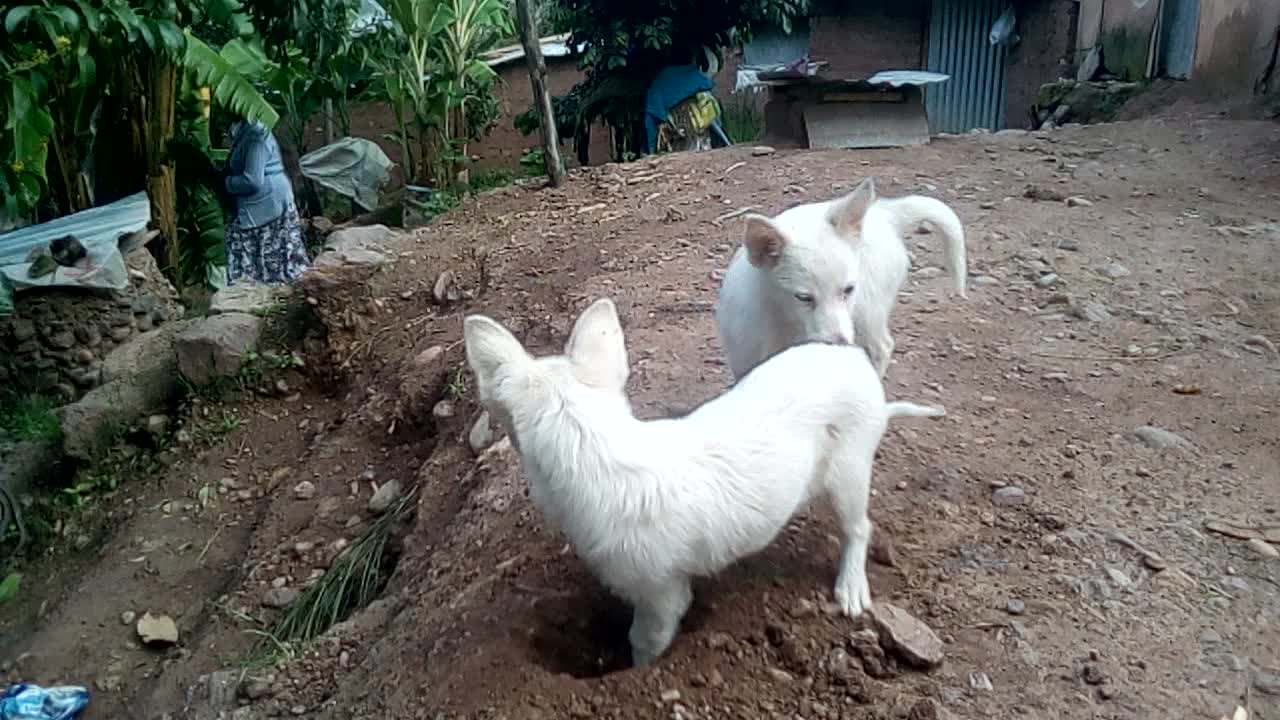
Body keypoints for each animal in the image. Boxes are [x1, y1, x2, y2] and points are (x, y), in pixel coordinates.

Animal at [460, 294, 942, 666]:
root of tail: (856, 360)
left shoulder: (659, 590)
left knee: (859, 527)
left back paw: (850, 591)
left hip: (850, 468)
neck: (594, 447)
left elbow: (644, 639)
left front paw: (637, 669)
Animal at [716, 176, 962, 379]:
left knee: (882, 347)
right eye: (803, 297)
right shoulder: (744, 361)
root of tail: (883, 215)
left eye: (848, 289)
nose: (840, 346)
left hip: (867, 313)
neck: (783, 322)